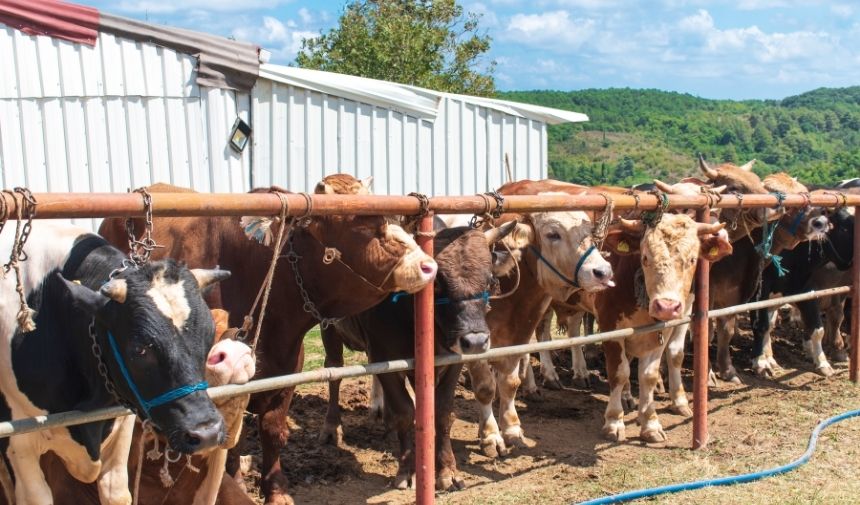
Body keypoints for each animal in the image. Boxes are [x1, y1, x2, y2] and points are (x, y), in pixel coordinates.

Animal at [0, 222, 230, 504]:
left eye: (209, 336)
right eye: (139, 349)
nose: (207, 433)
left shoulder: (121, 419)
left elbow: (116, 491)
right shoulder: (18, 440)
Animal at [98, 174, 436, 504]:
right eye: (365, 226)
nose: (428, 265)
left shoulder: (287, 373)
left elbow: (273, 431)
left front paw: (276, 489)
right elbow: (232, 441)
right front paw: (238, 484)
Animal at [318, 220, 512, 488]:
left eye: (490, 280)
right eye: (437, 283)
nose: (475, 341)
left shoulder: (453, 360)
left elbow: (442, 412)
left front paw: (447, 471)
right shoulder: (384, 354)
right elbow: (404, 412)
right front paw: (406, 470)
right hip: (329, 330)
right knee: (334, 371)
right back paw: (331, 428)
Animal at [464, 179, 620, 454]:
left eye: (589, 232)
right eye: (552, 234)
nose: (603, 272)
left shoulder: (521, 331)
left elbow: (509, 381)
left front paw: (512, 428)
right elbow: (484, 387)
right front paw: (491, 435)